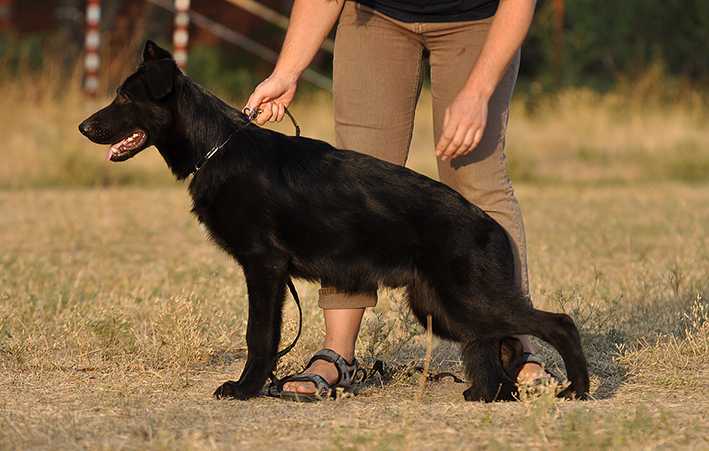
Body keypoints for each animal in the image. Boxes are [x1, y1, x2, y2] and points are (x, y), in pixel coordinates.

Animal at [77, 41, 588, 402]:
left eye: (124, 97)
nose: (83, 127)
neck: (216, 147)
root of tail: (489, 225)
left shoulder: (263, 268)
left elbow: (258, 334)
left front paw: (245, 389)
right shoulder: (270, 273)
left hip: (464, 301)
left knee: (557, 324)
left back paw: (575, 389)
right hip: (443, 308)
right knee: (491, 344)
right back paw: (485, 394)